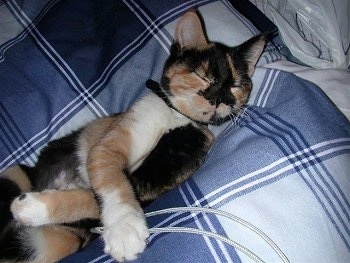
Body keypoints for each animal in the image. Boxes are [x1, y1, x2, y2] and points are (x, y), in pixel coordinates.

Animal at [0, 10, 266, 263]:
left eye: (236, 85)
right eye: (203, 76)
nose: (220, 99)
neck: (178, 118)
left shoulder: (156, 179)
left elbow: (91, 197)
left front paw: (34, 207)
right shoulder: (109, 146)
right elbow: (112, 181)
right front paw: (124, 227)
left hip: (58, 240)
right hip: (16, 174)